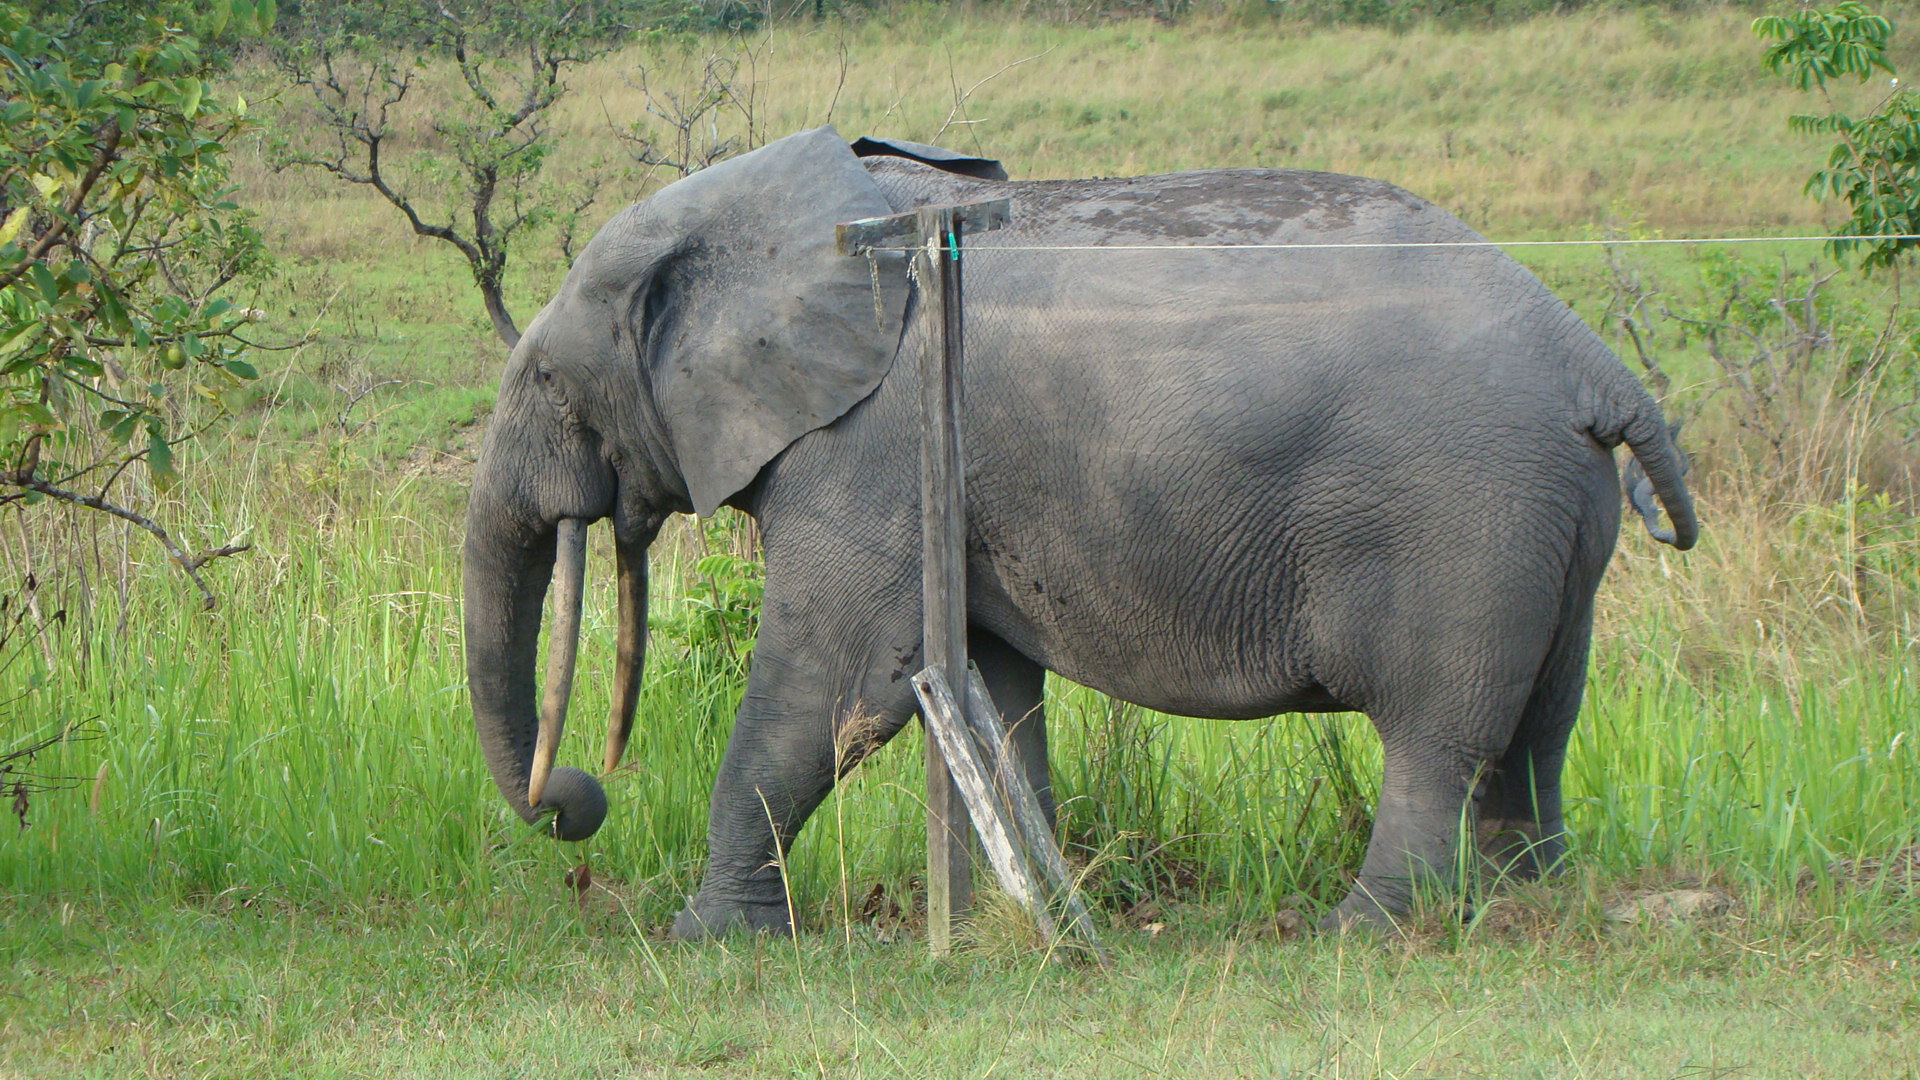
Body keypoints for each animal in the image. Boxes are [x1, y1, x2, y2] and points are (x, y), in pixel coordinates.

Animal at [462, 126, 1697, 937]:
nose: (574, 799)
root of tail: (1591, 358)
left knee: (1441, 735)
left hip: (1464, 515)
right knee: (1542, 721)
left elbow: (832, 683)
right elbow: (991, 689)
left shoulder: (869, 452)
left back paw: (1364, 932)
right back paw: (1529, 903)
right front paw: (1041, 914)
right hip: (1554, 515)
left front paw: (708, 942)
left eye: (550, 381)